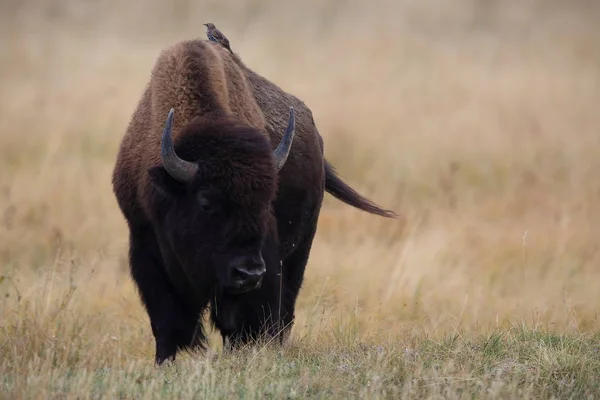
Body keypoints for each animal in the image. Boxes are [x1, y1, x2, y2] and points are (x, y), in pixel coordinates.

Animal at [112, 39, 396, 364]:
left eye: (264, 202)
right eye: (206, 202)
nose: (248, 274)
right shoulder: (146, 246)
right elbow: (167, 322)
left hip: (300, 250)